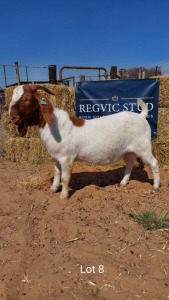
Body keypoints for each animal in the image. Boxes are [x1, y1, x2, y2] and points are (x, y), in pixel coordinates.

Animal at [8, 83, 160, 199]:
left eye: (28, 99)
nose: (13, 117)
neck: (53, 125)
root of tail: (141, 116)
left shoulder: (66, 158)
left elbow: (65, 177)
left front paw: (63, 196)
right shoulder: (57, 158)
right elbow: (57, 174)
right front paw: (52, 189)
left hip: (143, 147)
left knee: (153, 163)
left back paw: (156, 186)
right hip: (128, 150)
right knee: (130, 163)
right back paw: (123, 183)